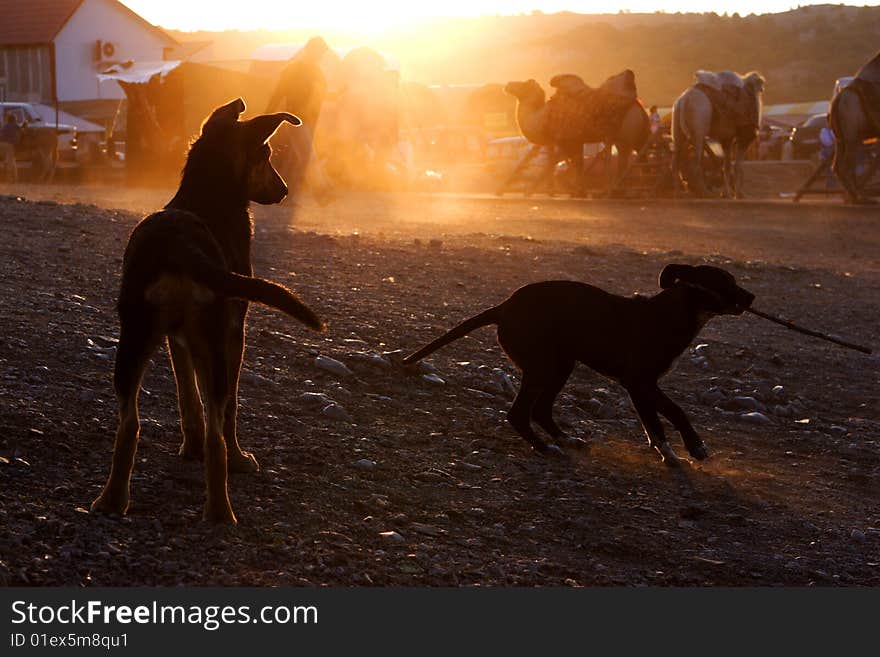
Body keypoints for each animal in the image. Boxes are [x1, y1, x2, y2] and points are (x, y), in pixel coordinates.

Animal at [502, 71, 648, 196]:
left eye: (524, 84)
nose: (508, 84)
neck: (543, 118)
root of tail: (637, 106)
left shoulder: (567, 140)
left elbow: (573, 164)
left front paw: (576, 191)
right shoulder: (577, 140)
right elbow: (577, 164)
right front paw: (578, 191)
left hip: (623, 137)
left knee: (624, 160)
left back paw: (617, 192)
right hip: (639, 136)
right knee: (641, 158)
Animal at [832, 50, 880, 204]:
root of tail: (837, 101)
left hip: (840, 139)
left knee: (838, 165)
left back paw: (856, 196)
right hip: (852, 135)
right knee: (846, 165)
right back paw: (858, 197)